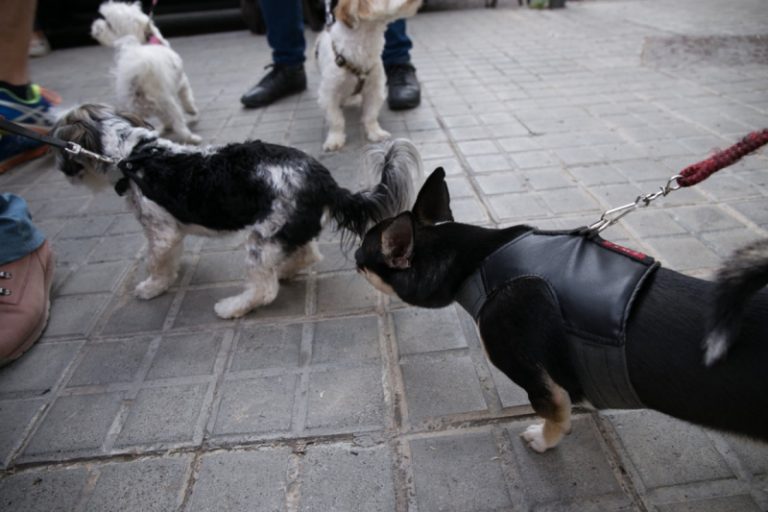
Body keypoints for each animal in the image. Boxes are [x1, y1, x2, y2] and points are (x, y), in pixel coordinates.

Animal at [51, 103, 421, 319]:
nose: (62, 170)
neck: (134, 154)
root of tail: (325, 183)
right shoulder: (172, 230)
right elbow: (169, 257)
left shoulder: (160, 231)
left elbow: (157, 262)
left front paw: (152, 287)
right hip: (285, 229)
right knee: (306, 255)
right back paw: (285, 270)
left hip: (263, 238)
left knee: (264, 289)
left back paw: (233, 307)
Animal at [91, 1, 201, 144]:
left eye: (108, 24)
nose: (95, 28)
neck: (147, 42)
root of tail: (137, 78)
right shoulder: (182, 81)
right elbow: (187, 98)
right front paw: (192, 111)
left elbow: (164, 118)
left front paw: (166, 126)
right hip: (169, 104)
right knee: (180, 126)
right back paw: (192, 138)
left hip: (135, 110)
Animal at [314, 0, 422, 151]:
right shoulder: (329, 94)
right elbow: (336, 120)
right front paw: (335, 139)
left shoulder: (374, 89)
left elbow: (371, 115)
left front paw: (375, 133)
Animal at [355, 167, 768, 452]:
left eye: (362, 252)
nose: (354, 258)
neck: (478, 262)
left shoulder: (536, 377)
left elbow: (554, 410)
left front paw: (545, 439)